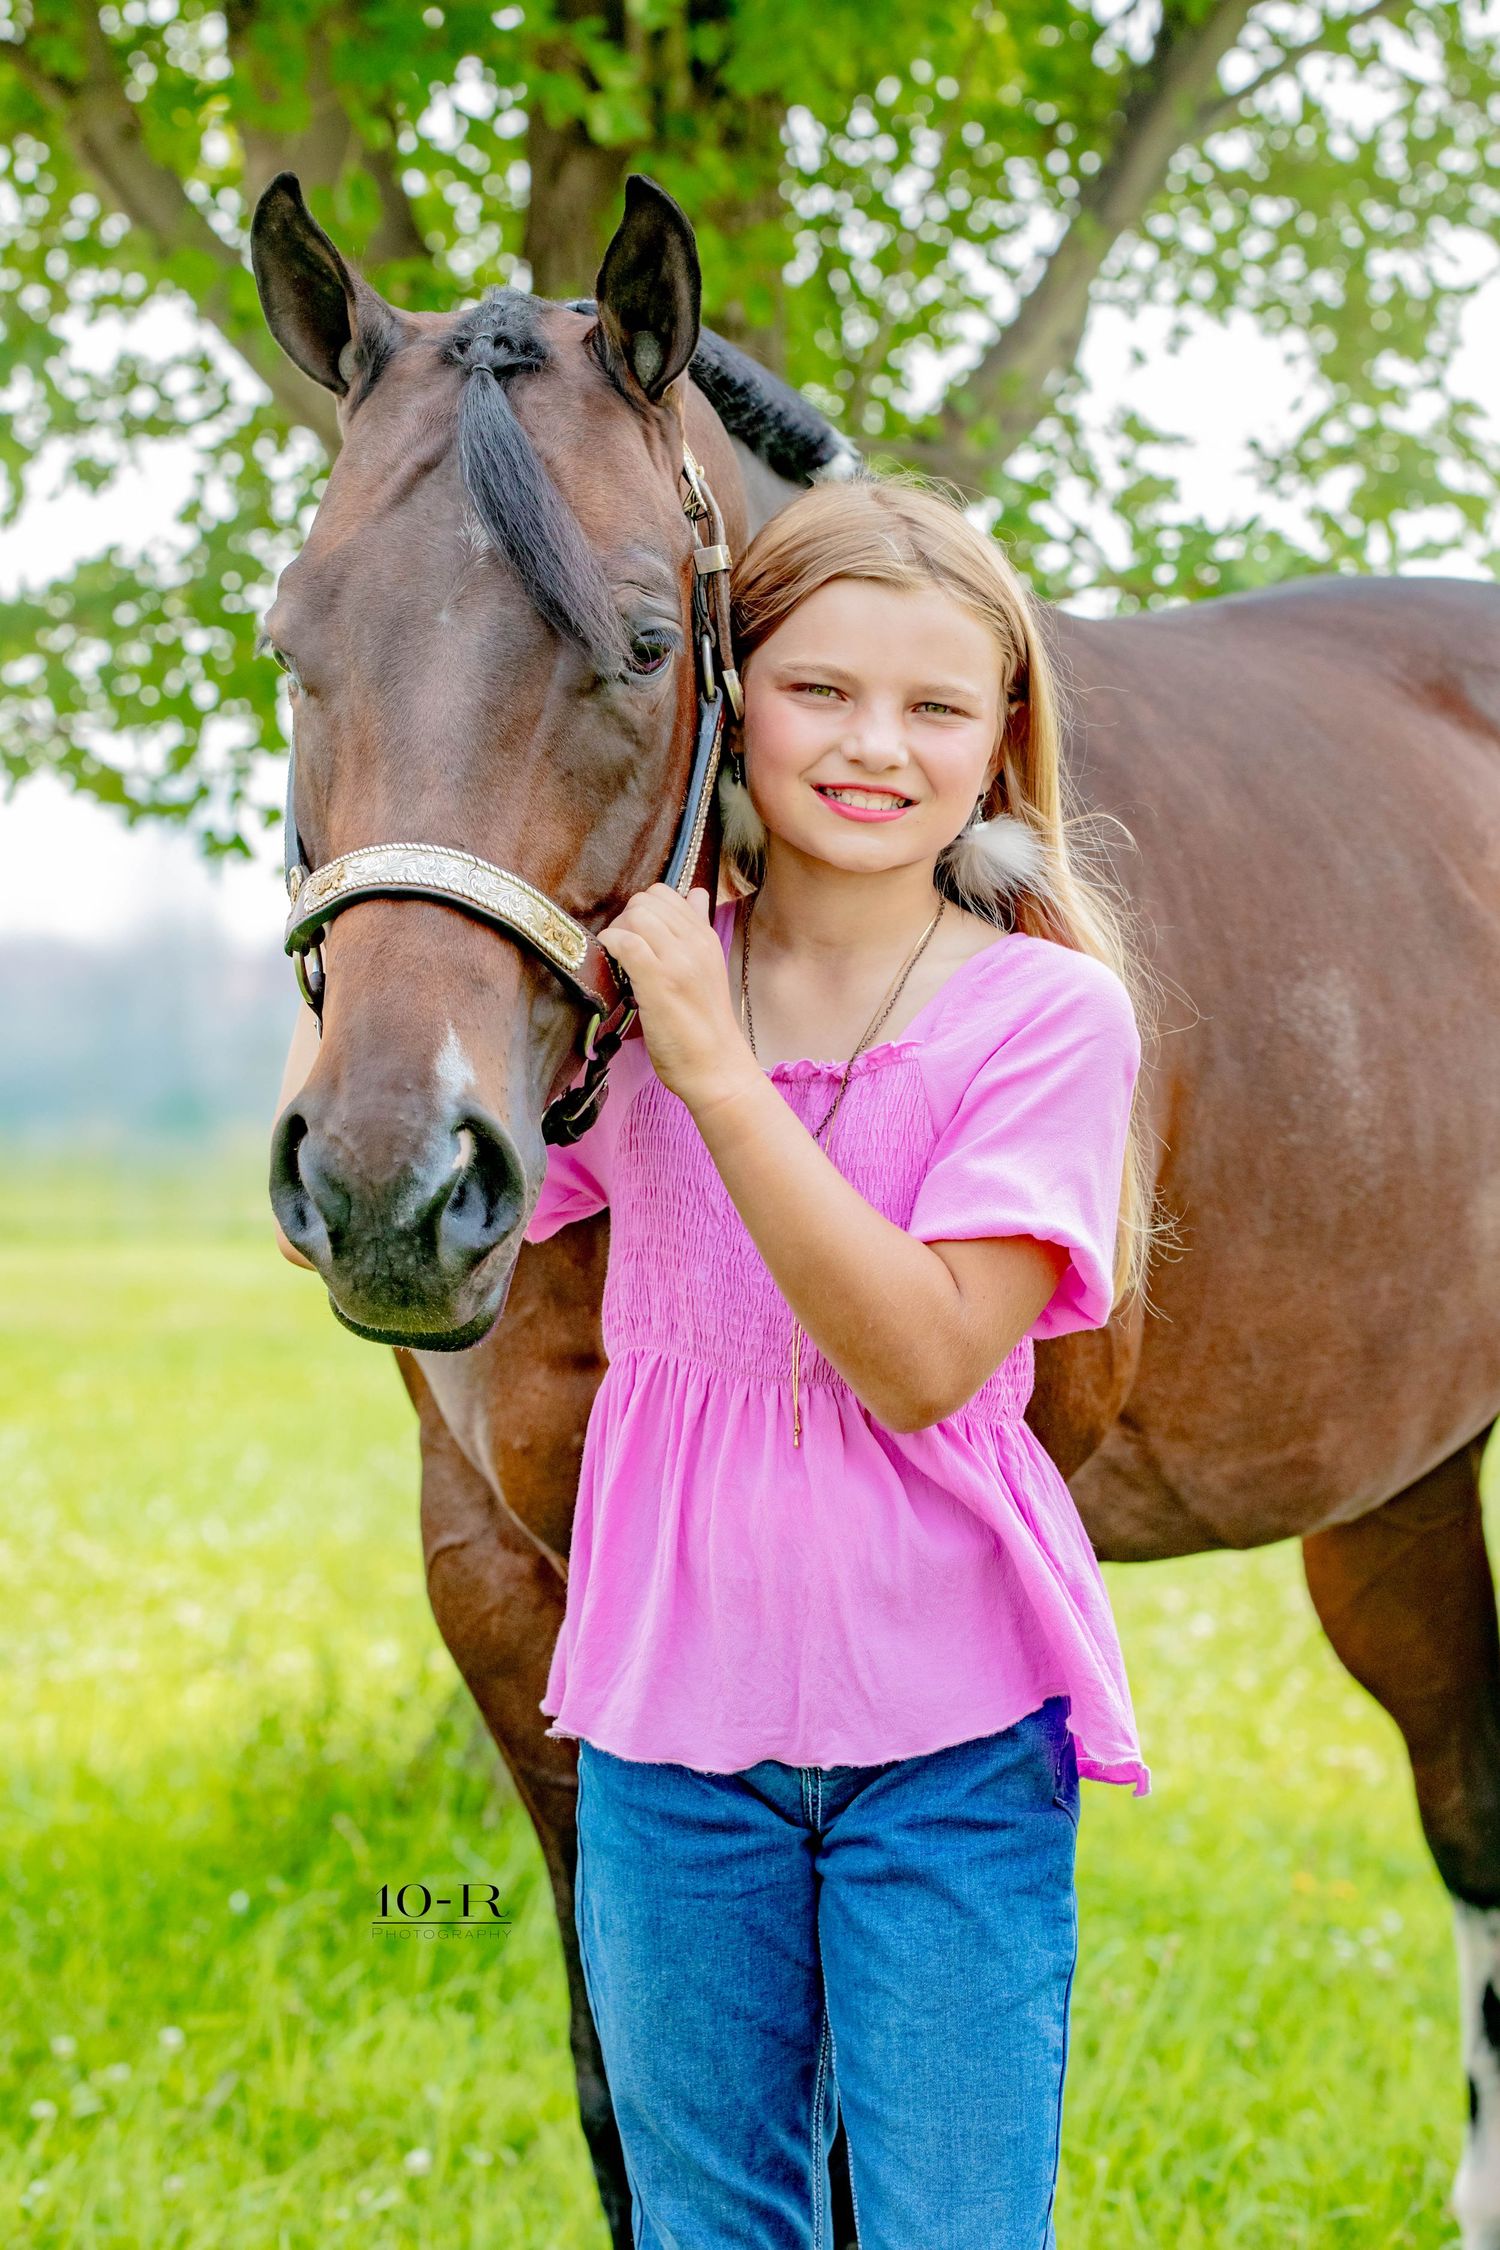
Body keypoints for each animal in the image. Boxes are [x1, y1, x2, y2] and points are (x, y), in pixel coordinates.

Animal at [253, 166, 1500, 2247]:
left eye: (646, 644)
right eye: (293, 639)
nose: (389, 1185)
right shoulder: (505, 1587)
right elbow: (632, 2088)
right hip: (1400, 1479)